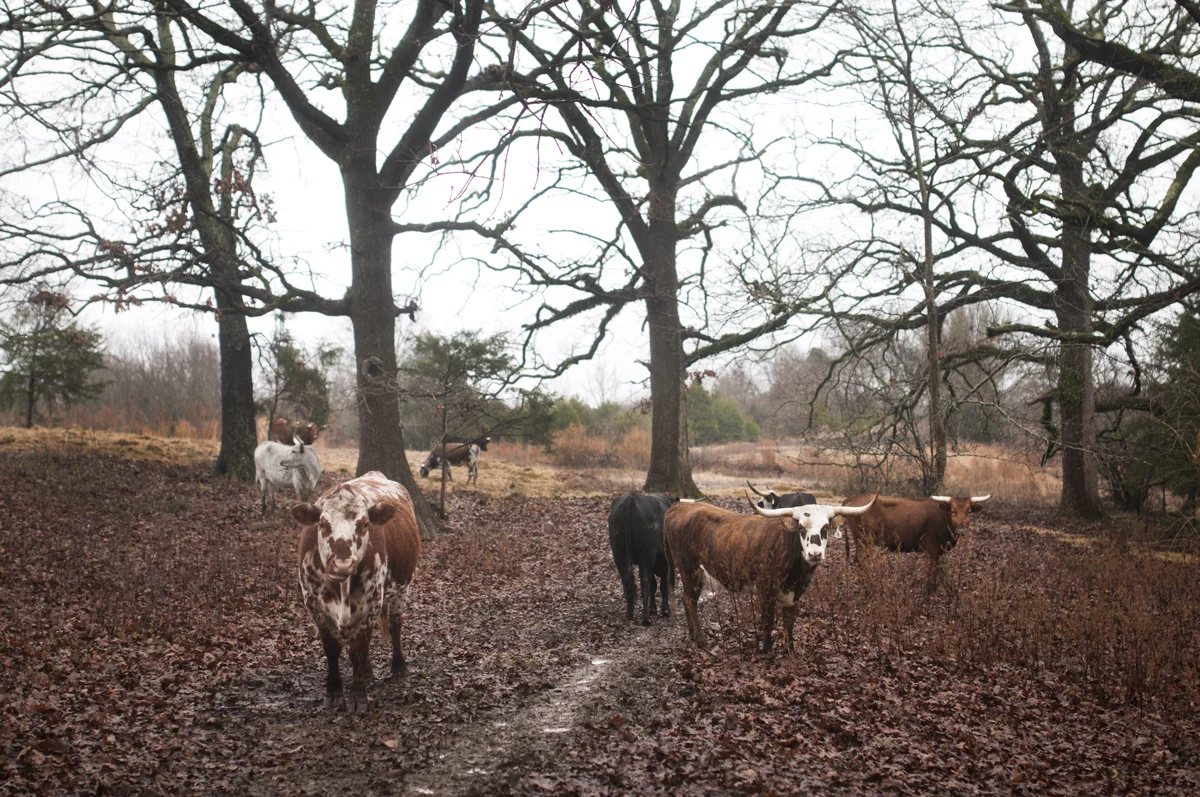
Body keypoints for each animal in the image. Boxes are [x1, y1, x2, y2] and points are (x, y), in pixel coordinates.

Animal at [291, 472, 421, 713]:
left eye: (364, 524)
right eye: (322, 524)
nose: (343, 563)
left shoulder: (372, 602)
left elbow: (358, 650)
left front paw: (358, 696)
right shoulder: (313, 604)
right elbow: (332, 648)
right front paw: (334, 692)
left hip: (402, 589)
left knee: (395, 625)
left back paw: (398, 667)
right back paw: (368, 672)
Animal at [608, 492, 677, 626]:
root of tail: (630, 499)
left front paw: (653, 608)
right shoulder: (666, 561)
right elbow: (663, 585)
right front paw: (664, 610)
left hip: (619, 554)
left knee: (627, 581)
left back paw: (630, 614)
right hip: (647, 555)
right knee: (645, 582)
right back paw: (646, 618)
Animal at [664, 494, 875, 653]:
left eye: (825, 528)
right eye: (801, 527)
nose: (814, 554)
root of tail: (678, 507)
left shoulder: (795, 594)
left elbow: (789, 622)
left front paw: (790, 650)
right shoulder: (765, 589)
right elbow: (768, 619)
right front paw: (766, 649)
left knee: (685, 598)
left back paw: (692, 634)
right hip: (689, 569)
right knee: (690, 600)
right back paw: (700, 639)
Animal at [840, 493, 991, 591]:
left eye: (969, 511)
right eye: (953, 511)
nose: (961, 530)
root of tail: (854, 497)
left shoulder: (939, 551)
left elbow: (937, 570)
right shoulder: (931, 548)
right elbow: (931, 571)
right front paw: (928, 593)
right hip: (865, 541)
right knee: (861, 563)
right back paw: (867, 590)